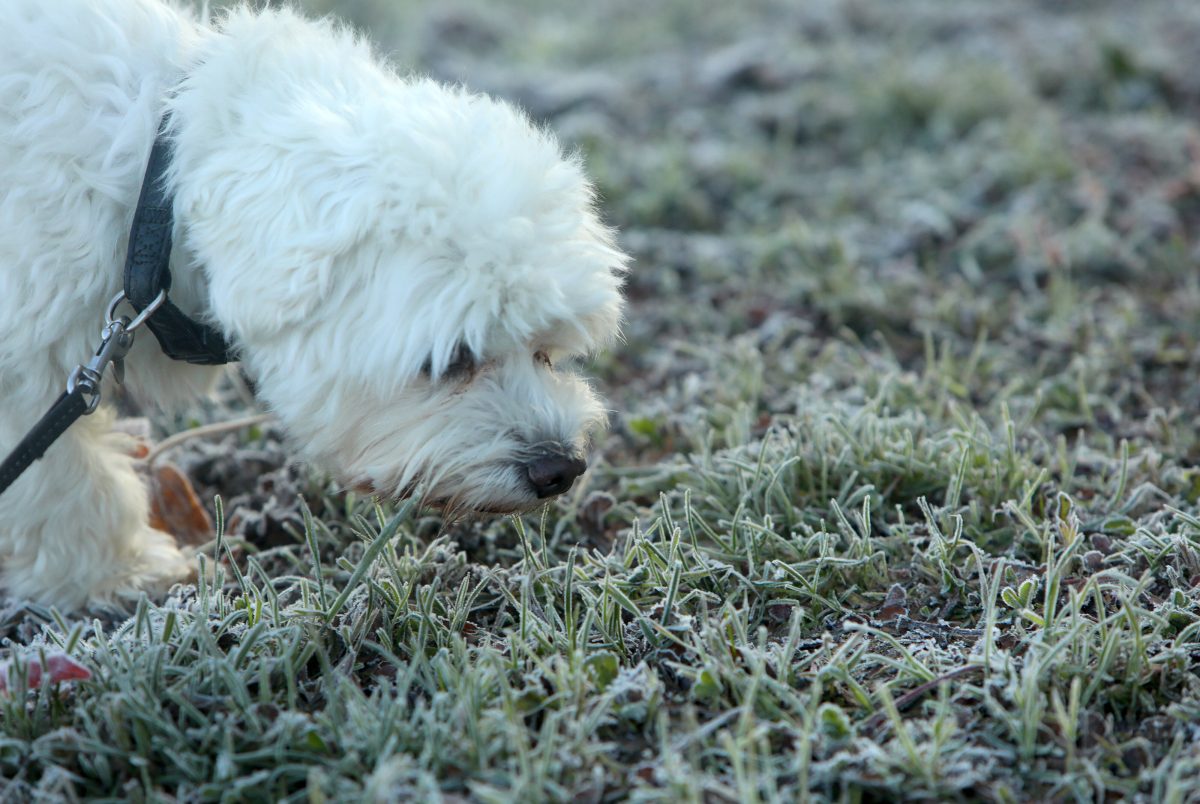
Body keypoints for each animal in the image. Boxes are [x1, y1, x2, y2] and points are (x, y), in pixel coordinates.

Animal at [0, 1, 624, 612]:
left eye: (545, 351)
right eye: (451, 360)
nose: (560, 469)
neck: (153, 182)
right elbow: (64, 478)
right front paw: (116, 573)